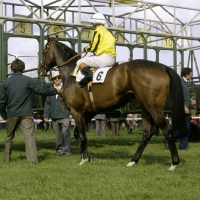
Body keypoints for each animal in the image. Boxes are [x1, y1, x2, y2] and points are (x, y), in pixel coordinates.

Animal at [38, 36, 187, 170]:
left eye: (44, 51)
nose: (40, 69)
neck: (72, 72)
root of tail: (163, 67)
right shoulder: (89, 112)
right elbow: (77, 134)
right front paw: (88, 156)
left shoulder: (77, 111)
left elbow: (82, 135)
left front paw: (84, 159)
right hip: (146, 107)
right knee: (147, 133)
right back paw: (133, 161)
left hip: (154, 108)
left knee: (167, 130)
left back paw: (174, 163)